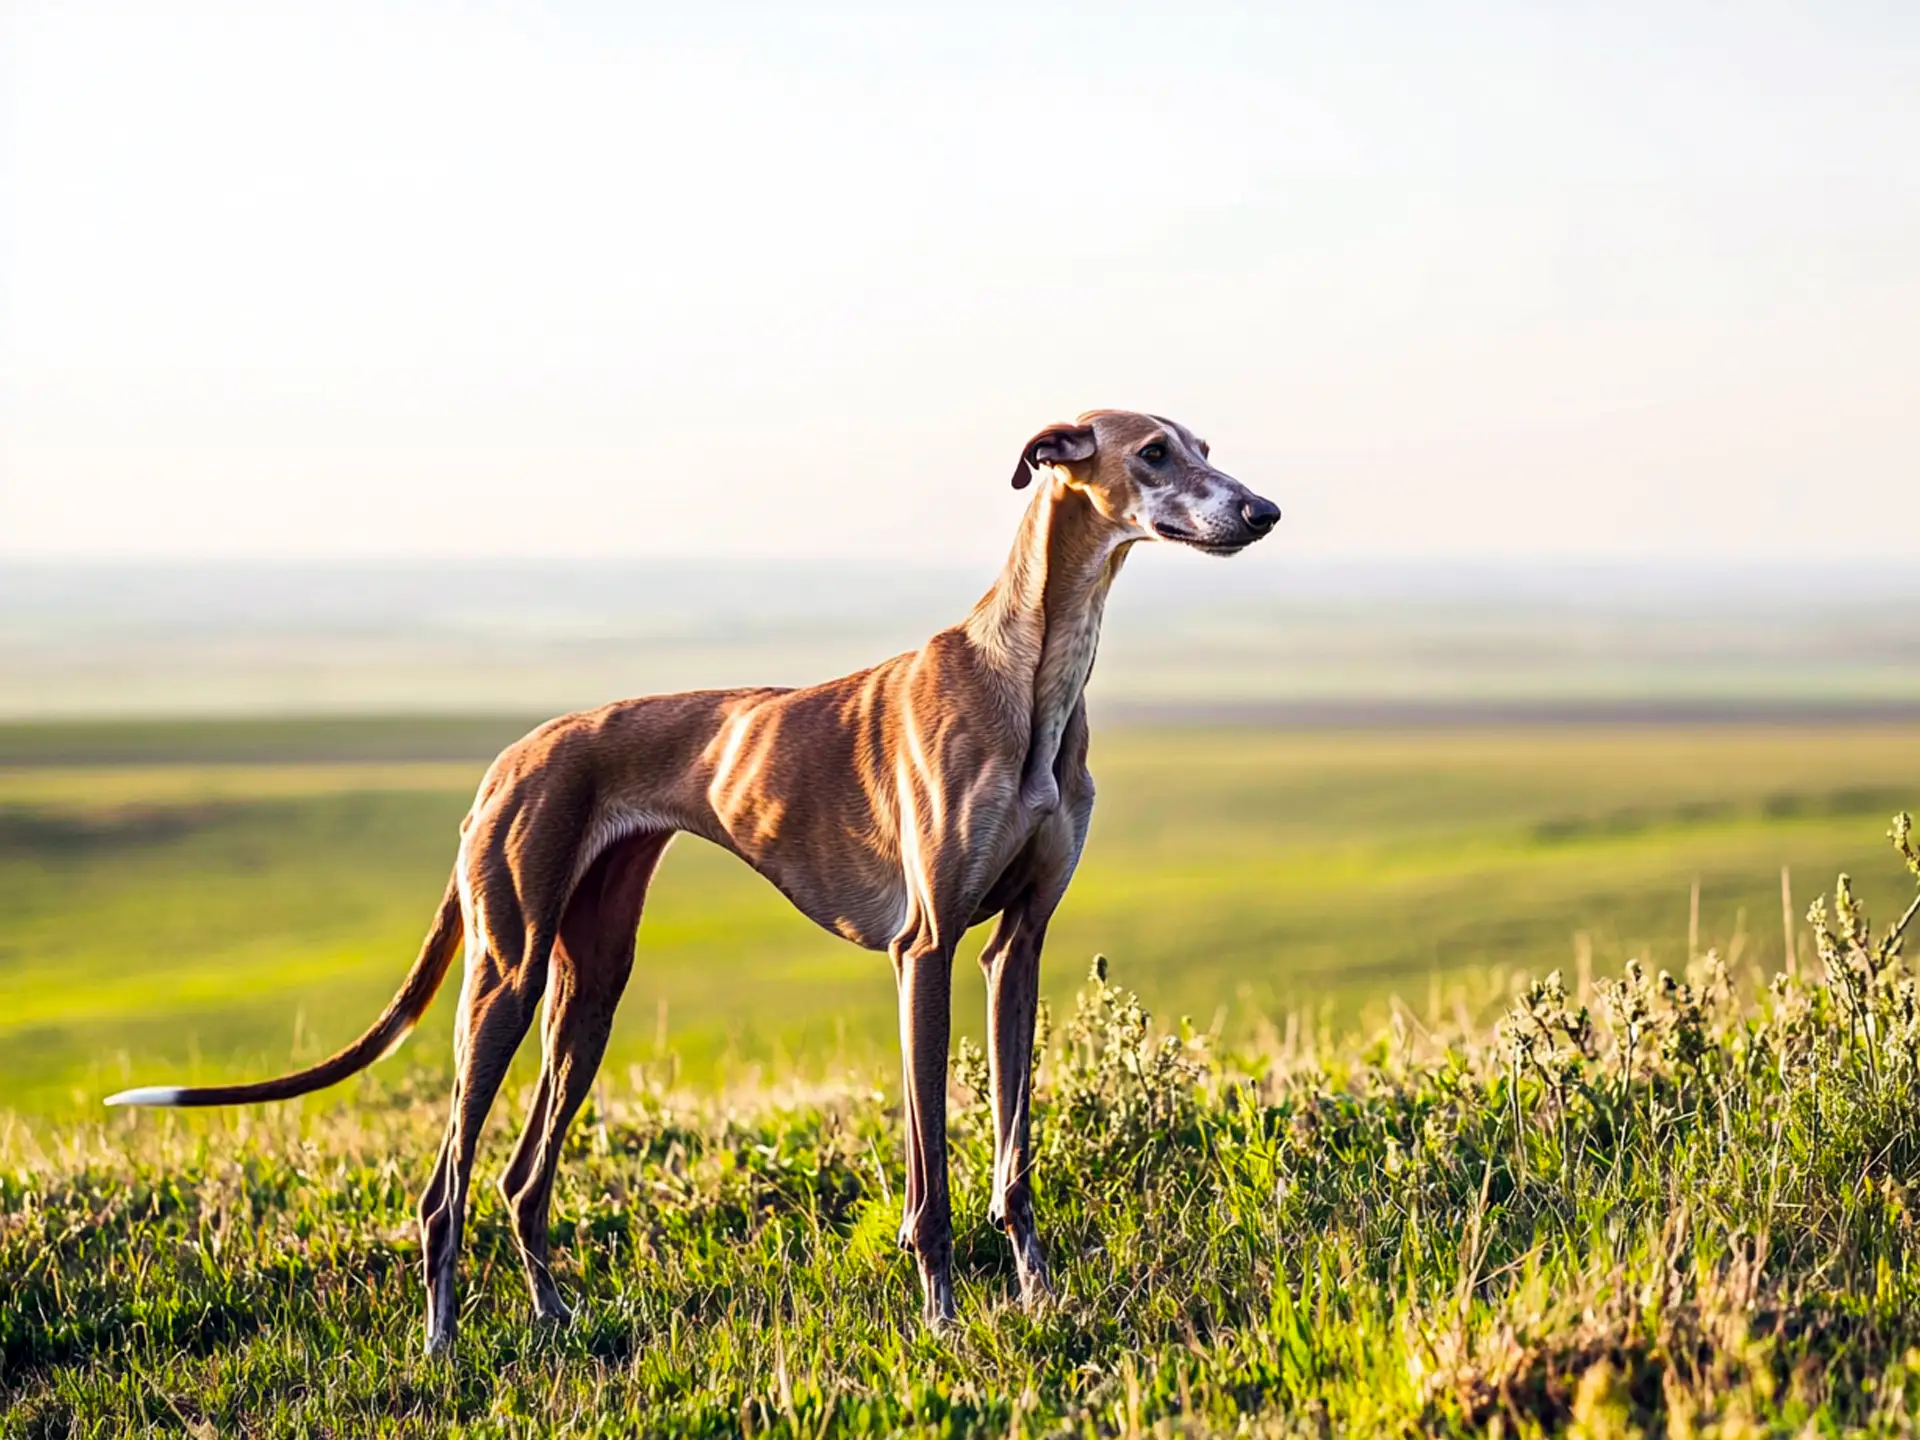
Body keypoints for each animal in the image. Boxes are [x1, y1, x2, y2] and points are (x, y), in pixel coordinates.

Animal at [105, 410, 1274, 1359]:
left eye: (1206, 445)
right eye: (1154, 452)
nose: (1262, 510)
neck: (1028, 674)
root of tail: (507, 762)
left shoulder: (1012, 948)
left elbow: (1014, 1159)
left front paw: (1037, 1299)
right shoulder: (926, 951)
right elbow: (930, 1176)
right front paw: (944, 1320)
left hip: (590, 988)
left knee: (522, 1180)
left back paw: (558, 1320)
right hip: (506, 977)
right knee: (444, 1188)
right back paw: (441, 1344)